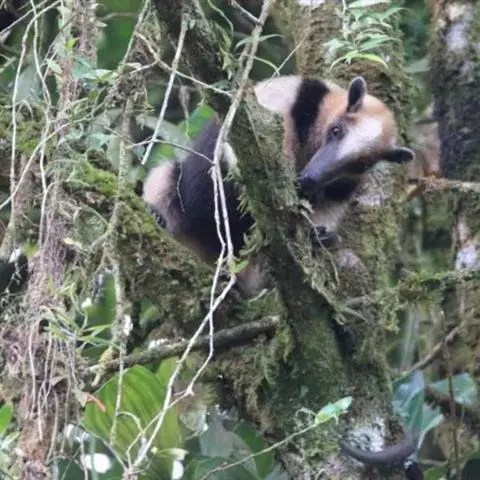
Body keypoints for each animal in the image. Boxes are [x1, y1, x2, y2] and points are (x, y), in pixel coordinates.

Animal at [143, 75, 415, 293]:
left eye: (361, 164)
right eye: (336, 130)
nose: (308, 180)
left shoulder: (345, 182)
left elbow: (331, 205)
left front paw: (321, 235)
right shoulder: (285, 99)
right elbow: (252, 139)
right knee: (165, 177)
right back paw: (157, 215)